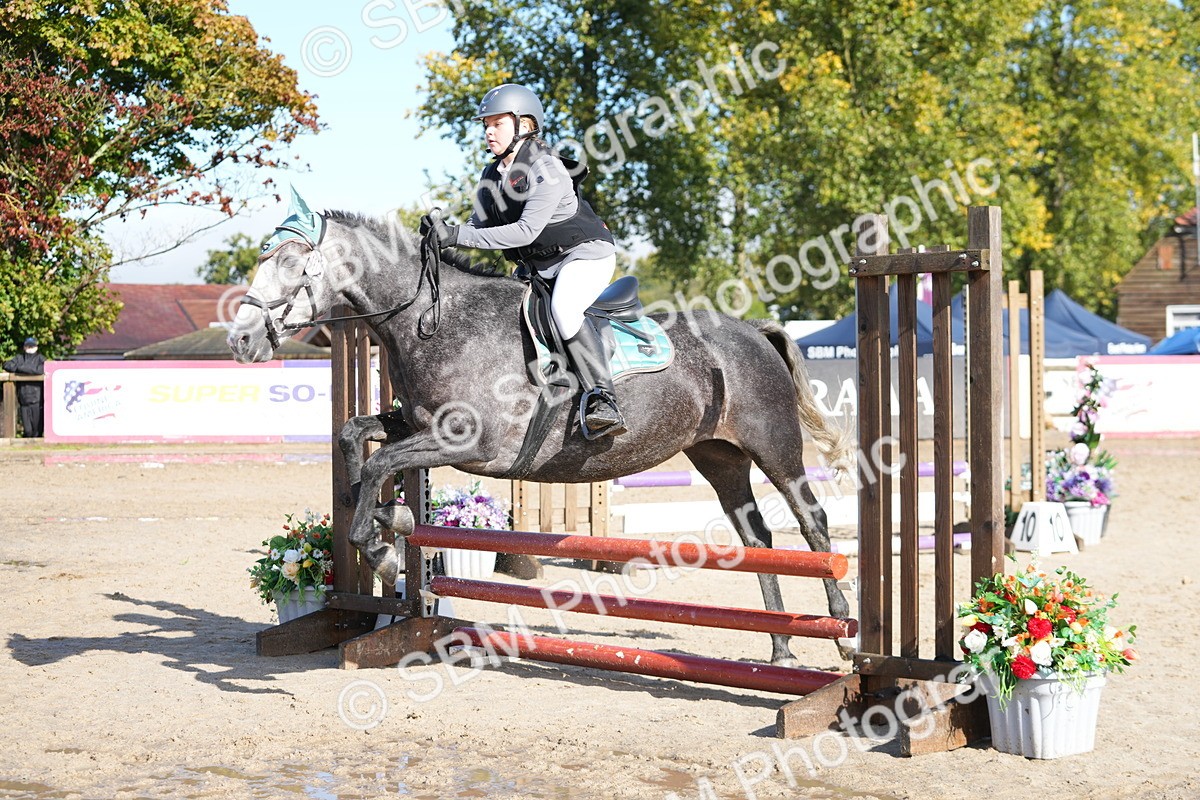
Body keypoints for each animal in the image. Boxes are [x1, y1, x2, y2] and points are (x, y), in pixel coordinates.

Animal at [228, 203, 854, 666]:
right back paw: (780, 648)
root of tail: (752, 330)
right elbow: (355, 438)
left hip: (773, 445)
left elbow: (381, 466)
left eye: (292, 264)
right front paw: (393, 520)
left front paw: (383, 550)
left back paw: (843, 635)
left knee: (812, 524)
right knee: (757, 538)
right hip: (718, 455)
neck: (435, 321)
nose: (241, 341)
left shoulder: (470, 443)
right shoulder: (418, 426)